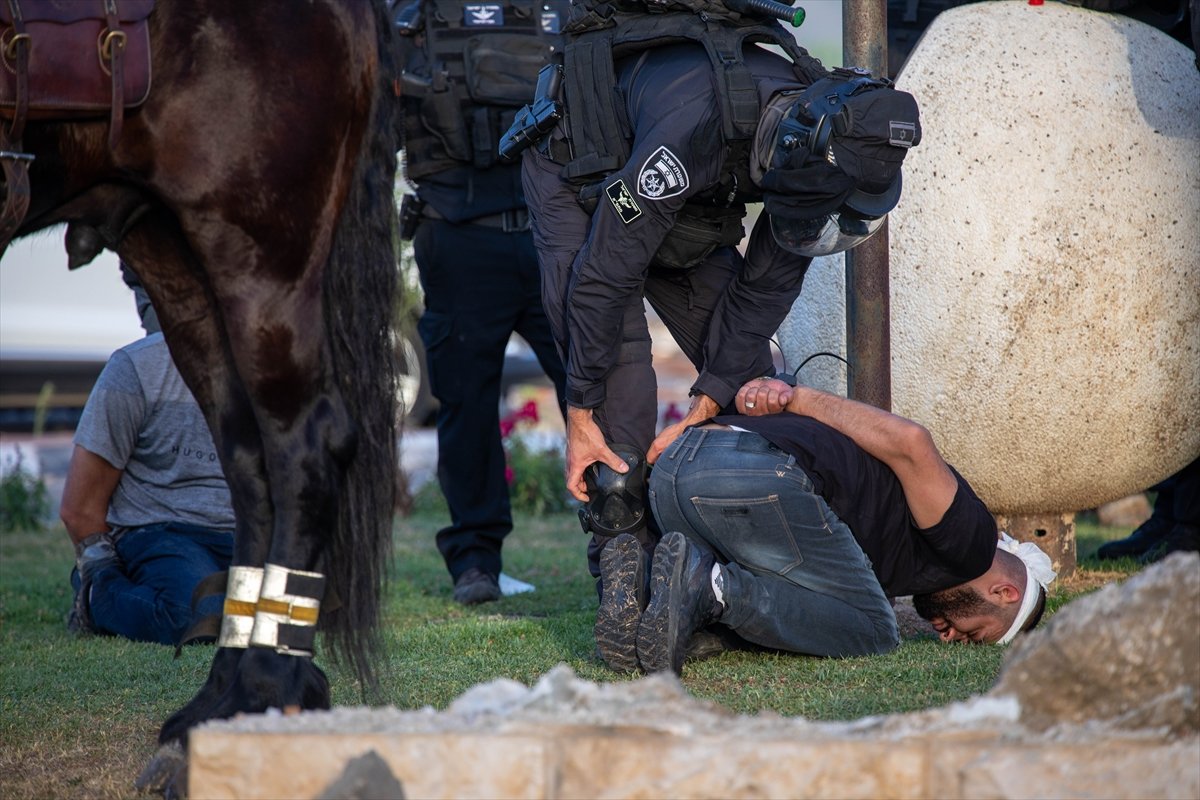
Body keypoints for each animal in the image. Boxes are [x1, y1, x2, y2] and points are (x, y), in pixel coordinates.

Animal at [0, 0, 403, 791]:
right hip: (173, 253)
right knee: (247, 461)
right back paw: (216, 705)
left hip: (257, 251)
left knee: (303, 445)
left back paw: (262, 692)